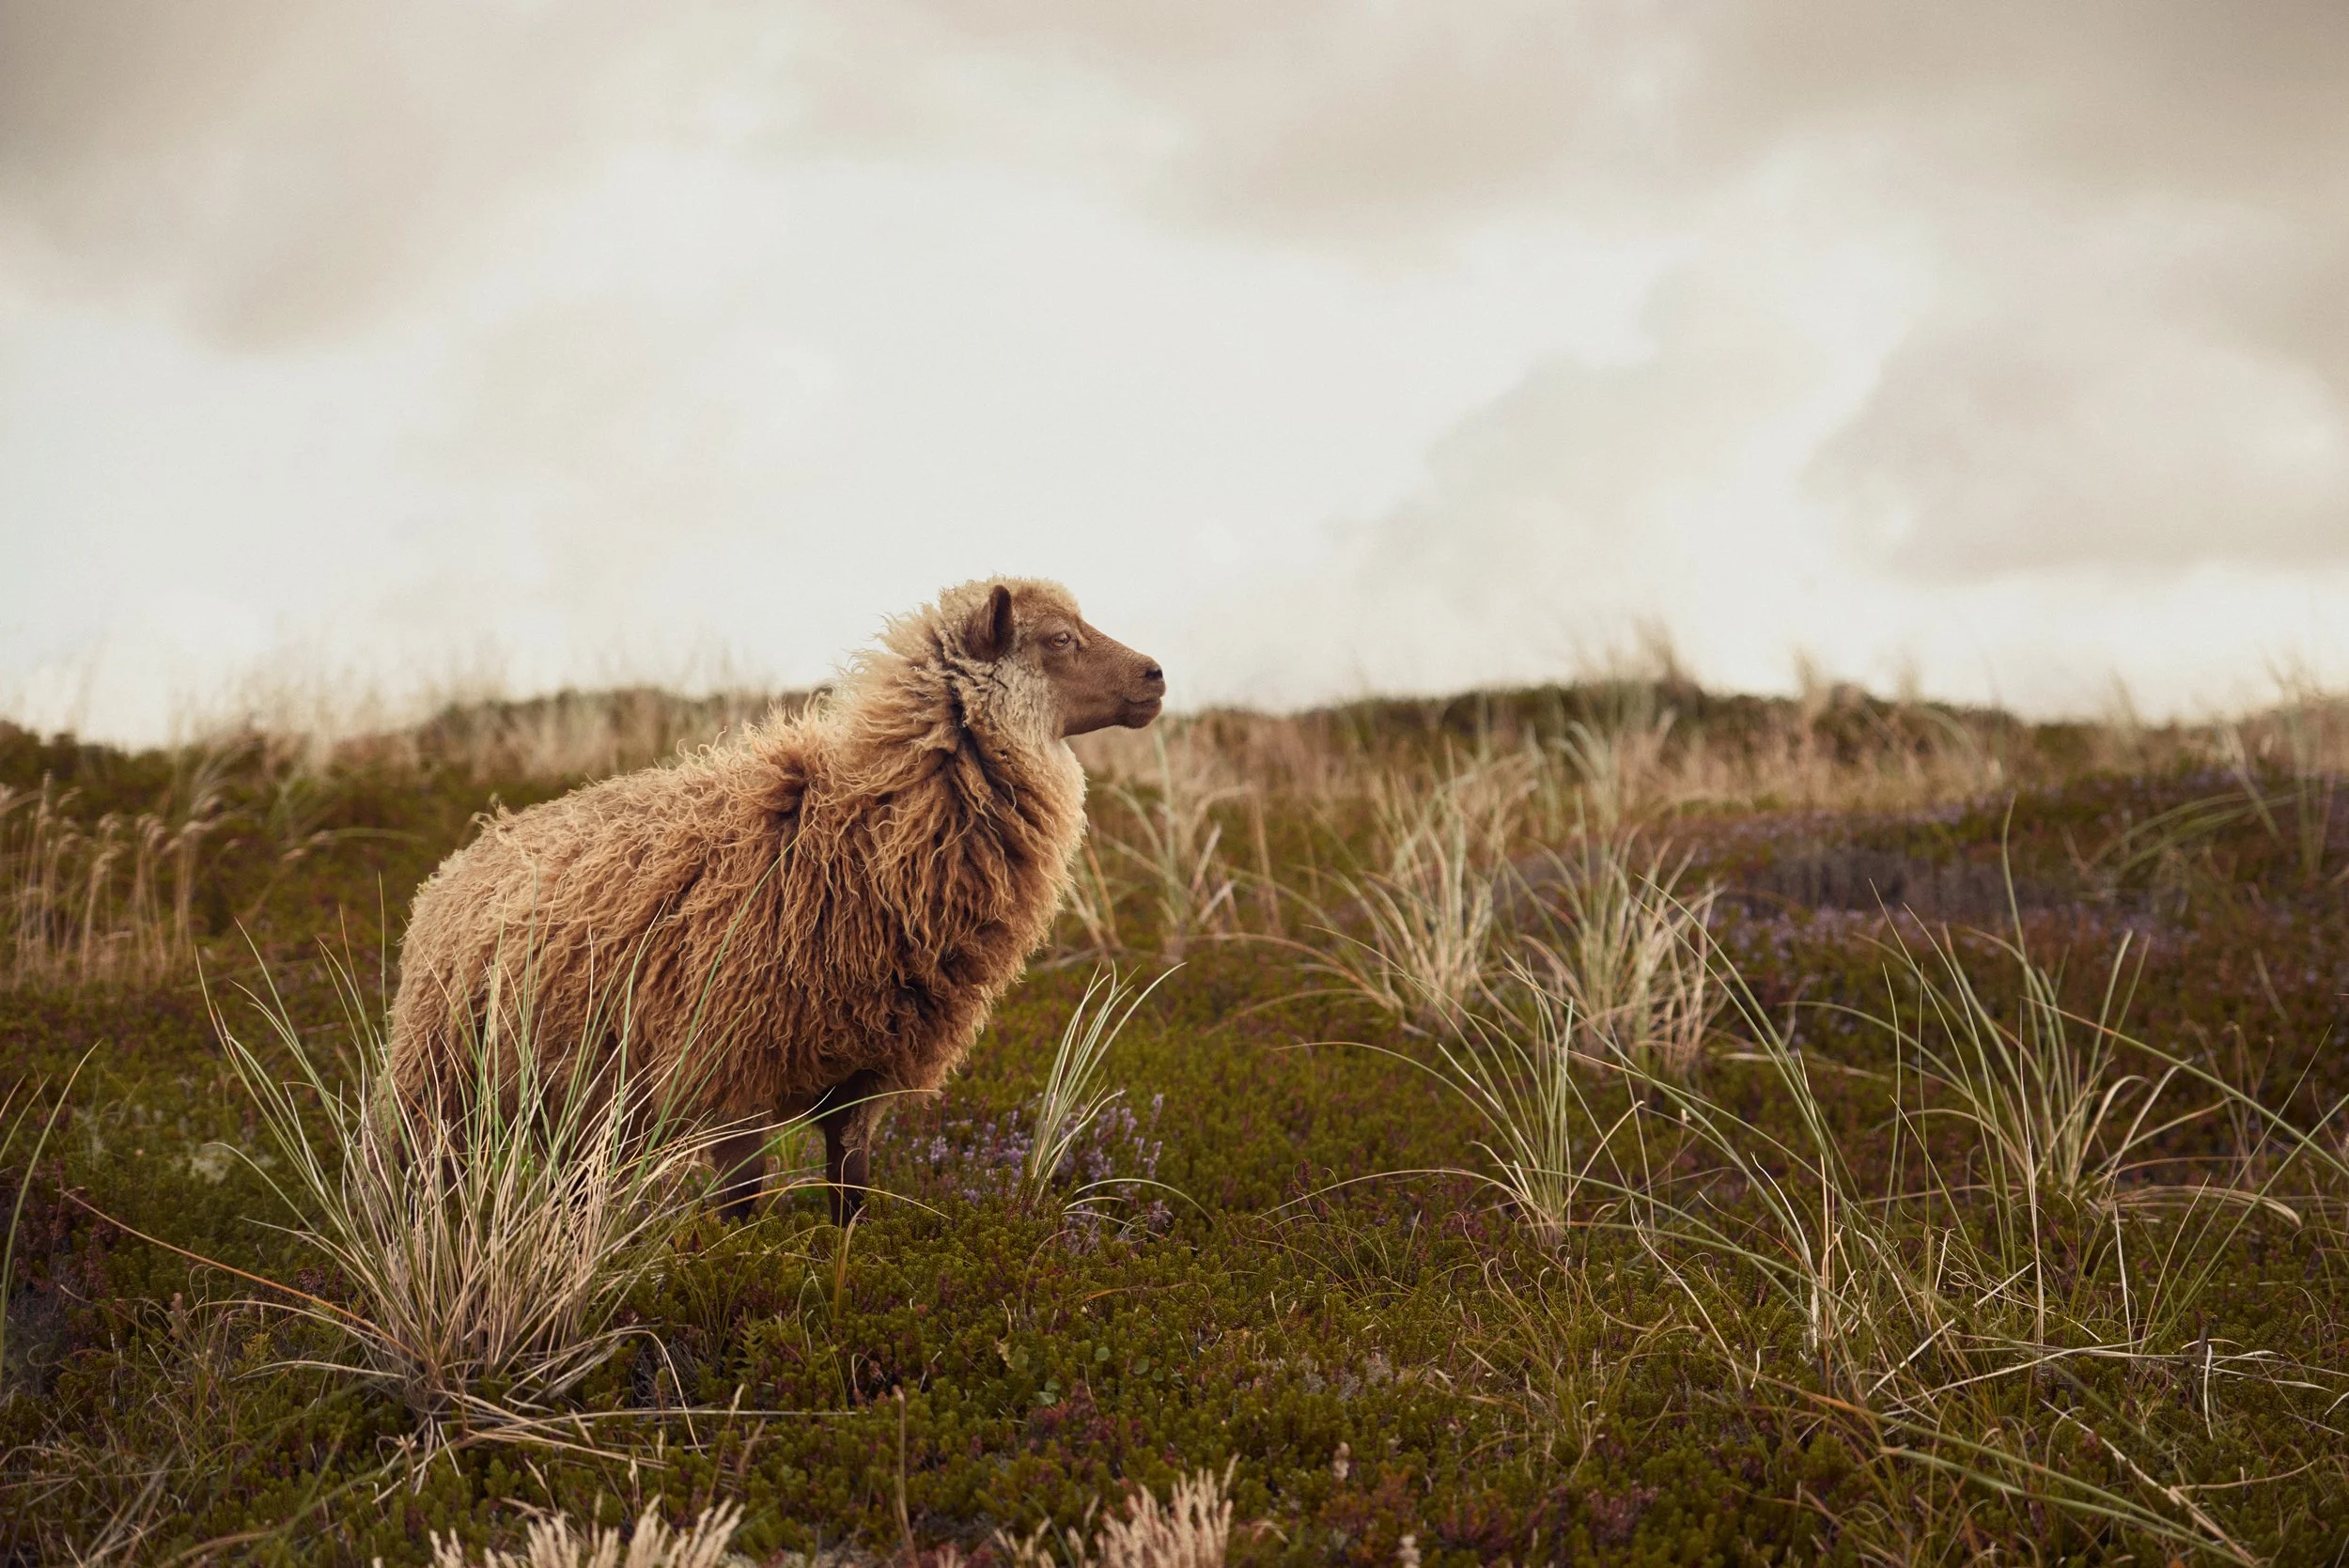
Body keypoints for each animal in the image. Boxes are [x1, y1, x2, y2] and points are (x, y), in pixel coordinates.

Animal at [387, 579, 1166, 1224]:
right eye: (1058, 638)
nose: (1156, 674)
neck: (861, 830)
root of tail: (465, 855)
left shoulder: (861, 1084)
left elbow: (850, 1199)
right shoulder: (728, 1076)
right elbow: (741, 1210)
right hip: (437, 1090)